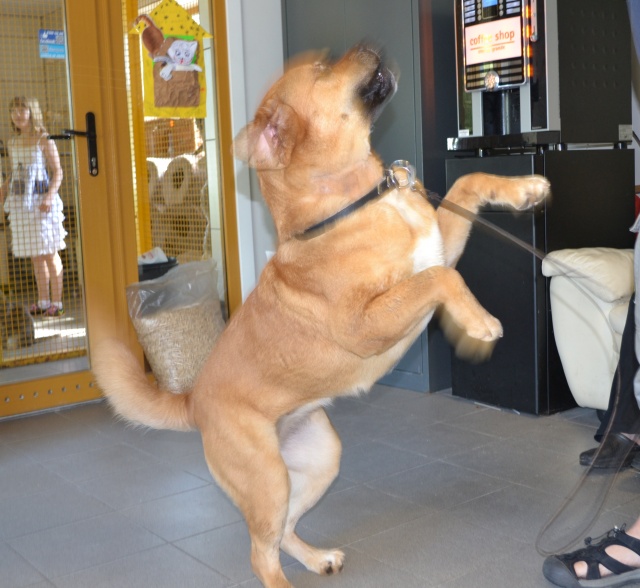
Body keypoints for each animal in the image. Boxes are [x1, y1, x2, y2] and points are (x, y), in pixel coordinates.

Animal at [93, 45, 550, 588]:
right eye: (319, 69)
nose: (372, 46)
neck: (360, 200)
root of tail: (193, 401)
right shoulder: (367, 323)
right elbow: (442, 280)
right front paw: (478, 325)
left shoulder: (437, 243)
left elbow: (466, 183)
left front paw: (525, 189)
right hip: (266, 479)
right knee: (260, 553)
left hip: (317, 461)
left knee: (285, 532)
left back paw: (317, 559)